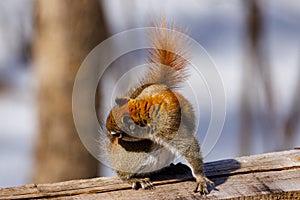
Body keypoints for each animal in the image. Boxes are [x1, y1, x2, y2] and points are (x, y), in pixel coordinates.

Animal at [105, 18, 213, 194]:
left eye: (118, 134)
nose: (112, 139)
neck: (143, 111)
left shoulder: (169, 128)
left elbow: (188, 146)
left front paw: (200, 178)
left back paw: (173, 167)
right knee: (123, 175)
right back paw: (136, 179)